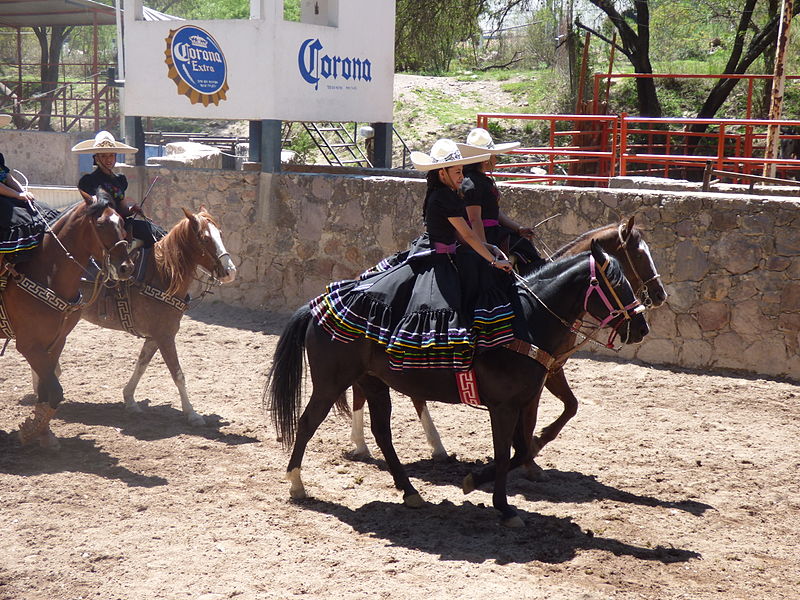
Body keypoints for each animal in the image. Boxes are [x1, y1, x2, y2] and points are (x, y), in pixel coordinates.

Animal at [0, 195, 134, 448]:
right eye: (100, 224)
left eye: (122, 222)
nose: (125, 268)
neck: (46, 275)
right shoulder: (29, 345)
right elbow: (55, 390)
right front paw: (29, 432)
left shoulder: (55, 342)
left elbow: (46, 389)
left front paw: (44, 434)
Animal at [78, 209, 238, 424]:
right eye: (205, 238)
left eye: (220, 233)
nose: (230, 272)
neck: (162, 274)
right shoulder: (165, 336)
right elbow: (178, 374)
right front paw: (192, 413)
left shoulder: (155, 337)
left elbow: (141, 365)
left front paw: (130, 400)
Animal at [268, 240, 648, 524]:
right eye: (617, 283)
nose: (641, 327)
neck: (525, 321)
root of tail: (318, 306)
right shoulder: (504, 406)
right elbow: (506, 451)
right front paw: (503, 507)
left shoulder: (525, 399)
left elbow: (523, 449)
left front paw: (477, 482)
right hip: (331, 383)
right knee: (307, 422)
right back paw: (296, 483)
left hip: (374, 383)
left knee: (382, 433)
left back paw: (410, 491)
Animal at [350, 216, 668, 474]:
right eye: (640, 256)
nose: (659, 294)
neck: (537, 306)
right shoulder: (540, 375)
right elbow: (538, 417)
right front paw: (529, 456)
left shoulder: (551, 369)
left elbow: (570, 406)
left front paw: (532, 448)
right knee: (363, 391)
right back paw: (361, 445)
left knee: (409, 394)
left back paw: (433, 448)